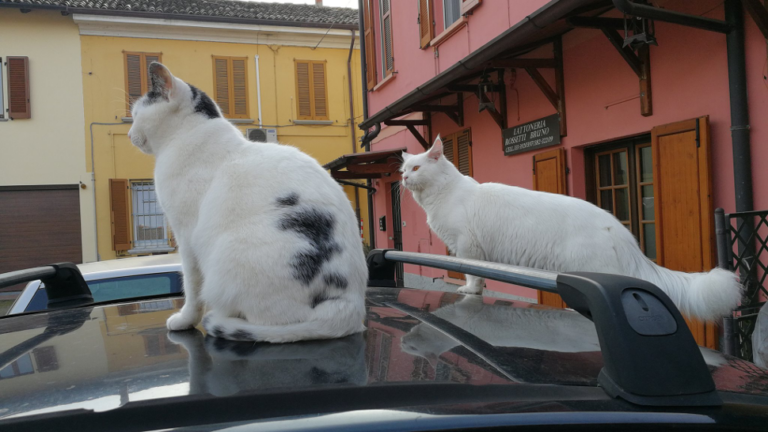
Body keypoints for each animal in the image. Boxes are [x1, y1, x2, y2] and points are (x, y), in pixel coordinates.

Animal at [128, 62, 366, 342]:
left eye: (135, 114)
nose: (130, 134)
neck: (188, 135)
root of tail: (349, 306)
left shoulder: (186, 235)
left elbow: (191, 285)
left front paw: (186, 319)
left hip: (230, 256)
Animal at [402, 135, 744, 320]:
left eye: (416, 168)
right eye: (404, 168)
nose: (404, 178)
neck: (443, 194)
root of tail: (618, 229)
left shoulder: (467, 247)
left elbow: (473, 277)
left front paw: (470, 291)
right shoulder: (470, 249)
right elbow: (481, 279)